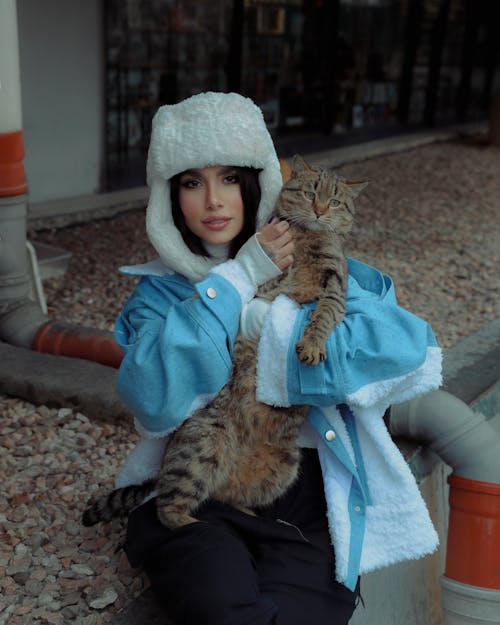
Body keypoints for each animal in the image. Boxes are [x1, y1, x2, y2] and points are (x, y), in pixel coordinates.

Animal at [81, 155, 364, 528]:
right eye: (310, 194)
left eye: (334, 202)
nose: (319, 211)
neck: (308, 237)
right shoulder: (273, 282)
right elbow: (257, 292)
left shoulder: (335, 289)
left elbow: (324, 316)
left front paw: (312, 343)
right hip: (203, 446)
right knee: (169, 508)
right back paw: (192, 523)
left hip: (285, 466)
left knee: (221, 497)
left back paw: (243, 511)